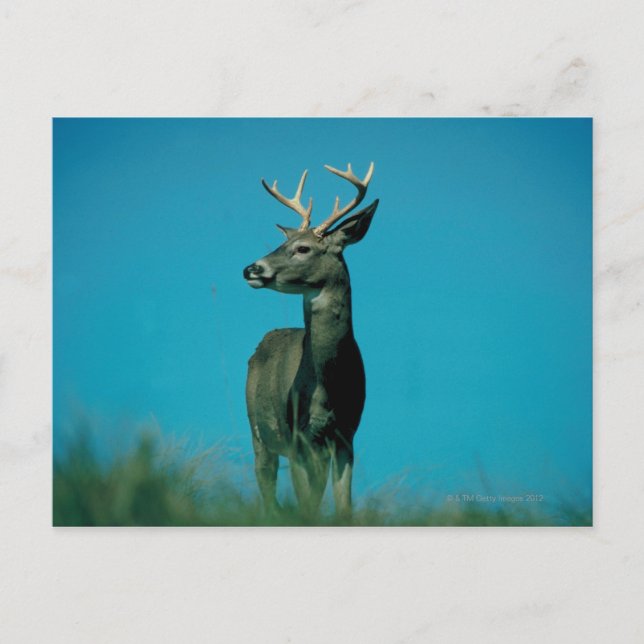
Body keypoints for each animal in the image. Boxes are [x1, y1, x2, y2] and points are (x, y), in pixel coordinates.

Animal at [243, 162, 379, 520]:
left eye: (303, 248)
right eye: (283, 244)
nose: (250, 269)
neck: (329, 388)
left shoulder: (346, 436)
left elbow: (343, 507)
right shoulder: (297, 437)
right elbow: (306, 506)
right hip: (258, 430)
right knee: (266, 485)